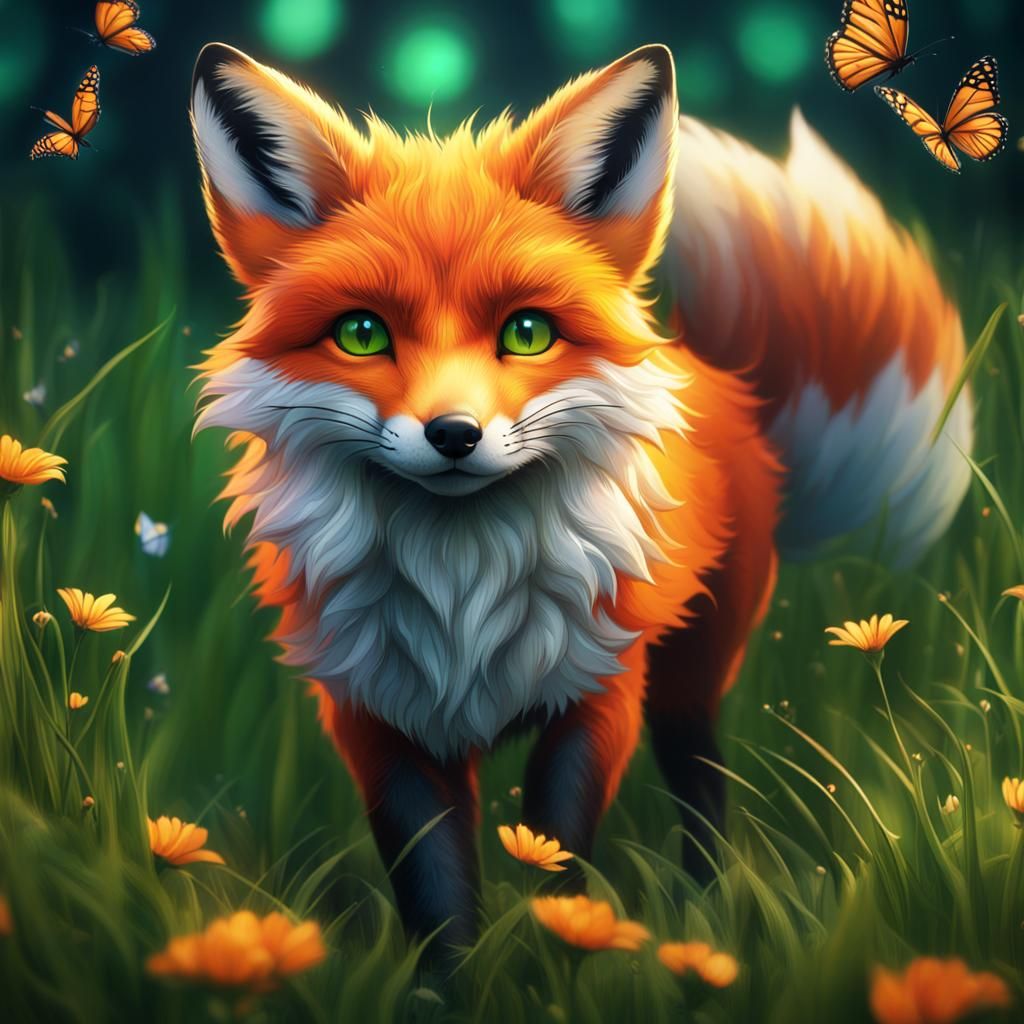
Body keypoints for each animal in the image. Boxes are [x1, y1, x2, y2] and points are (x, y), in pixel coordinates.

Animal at [189, 42, 971, 950]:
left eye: (527, 332)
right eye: (361, 333)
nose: (453, 434)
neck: (462, 593)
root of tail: (724, 380)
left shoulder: (599, 693)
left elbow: (554, 860)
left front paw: (556, 954)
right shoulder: (377, 718)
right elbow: (437, 898)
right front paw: (457, 976)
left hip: (688, 680)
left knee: (705, 797)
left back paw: (706, 916)